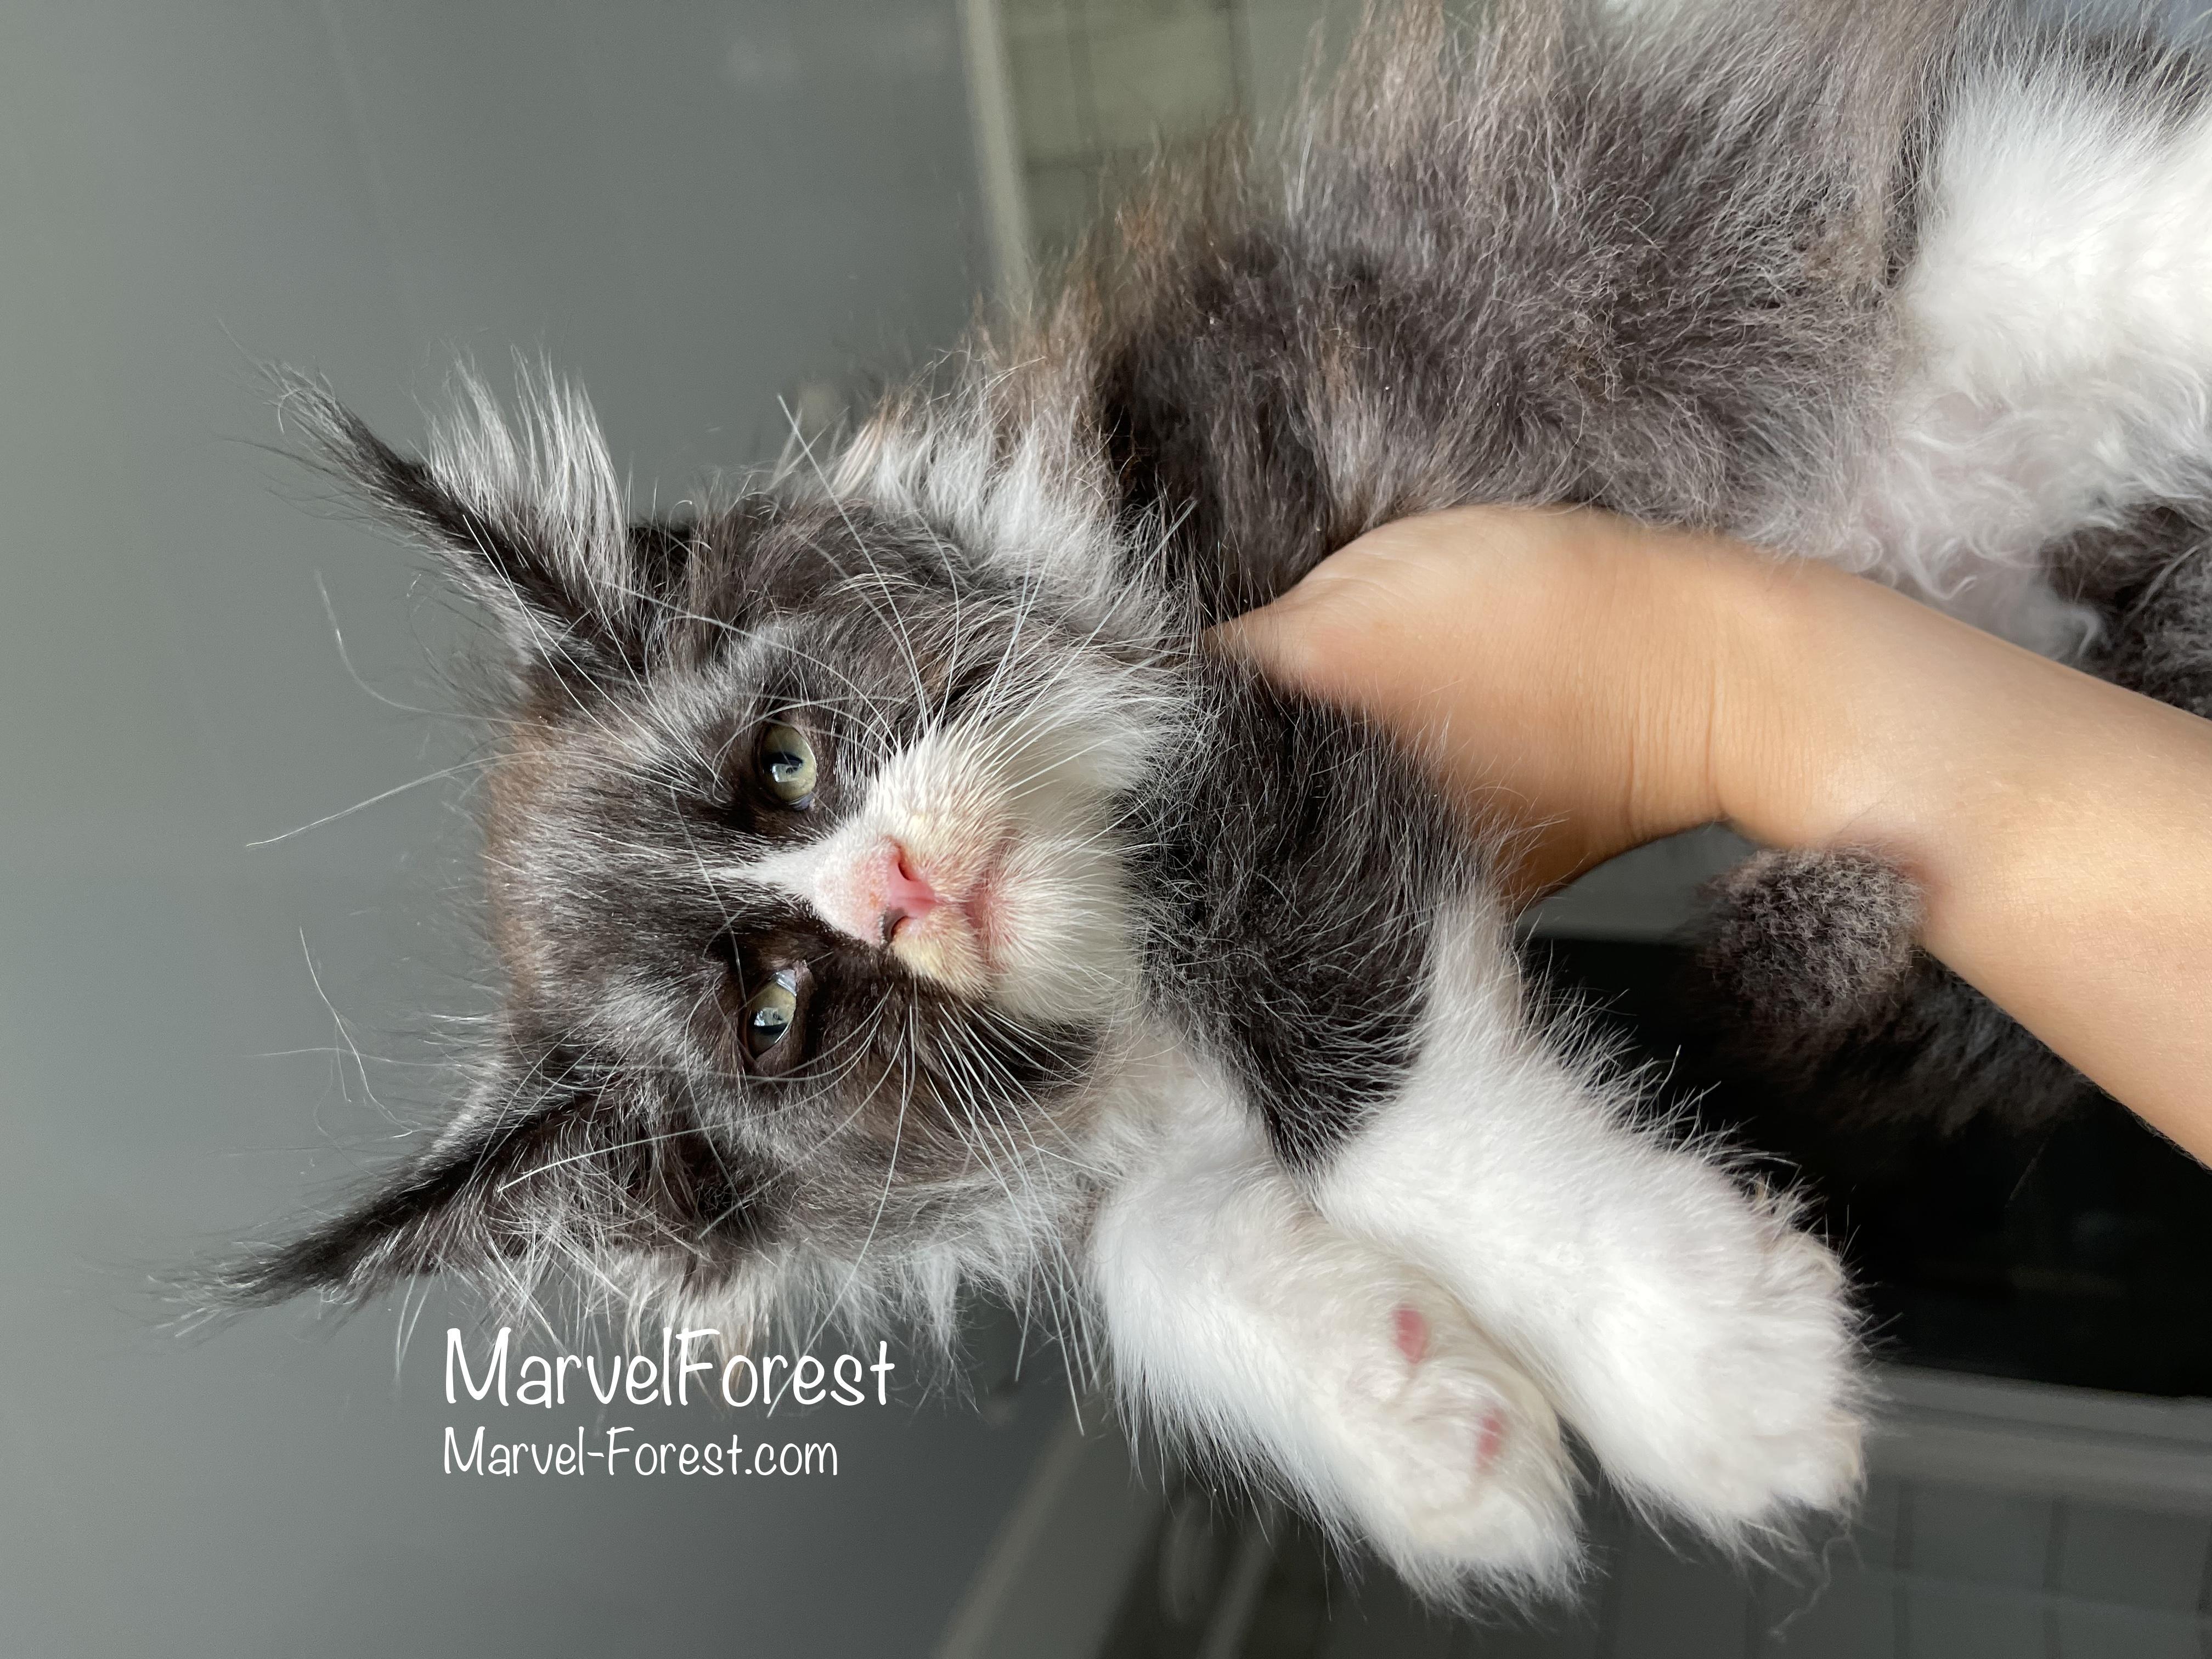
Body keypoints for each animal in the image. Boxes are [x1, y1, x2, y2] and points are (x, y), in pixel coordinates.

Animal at [229, 0, 2212, 1605]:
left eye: (780, 758)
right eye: (776, 1010)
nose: (901, 891)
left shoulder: (1239, 733)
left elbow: (1383, 1117)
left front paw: (1702, 1361)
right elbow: (1144, 1247)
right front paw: (1422, 1425)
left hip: (1991, 204)